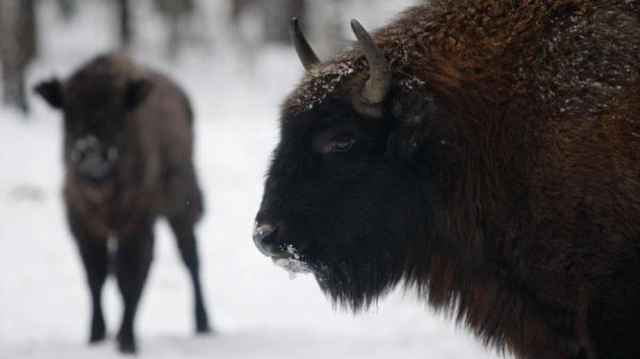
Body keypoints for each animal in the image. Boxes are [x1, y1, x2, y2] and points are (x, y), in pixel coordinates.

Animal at [35, 53, 211, 354]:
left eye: (116, 110)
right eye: (69, 109)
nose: (92, 152)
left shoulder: (136, 225)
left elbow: (128, 277)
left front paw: (126, 341)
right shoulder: (82, 225)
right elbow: (96, 276)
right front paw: (96, 336)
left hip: (181, 211)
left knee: (191, 260)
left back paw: (202, 324)